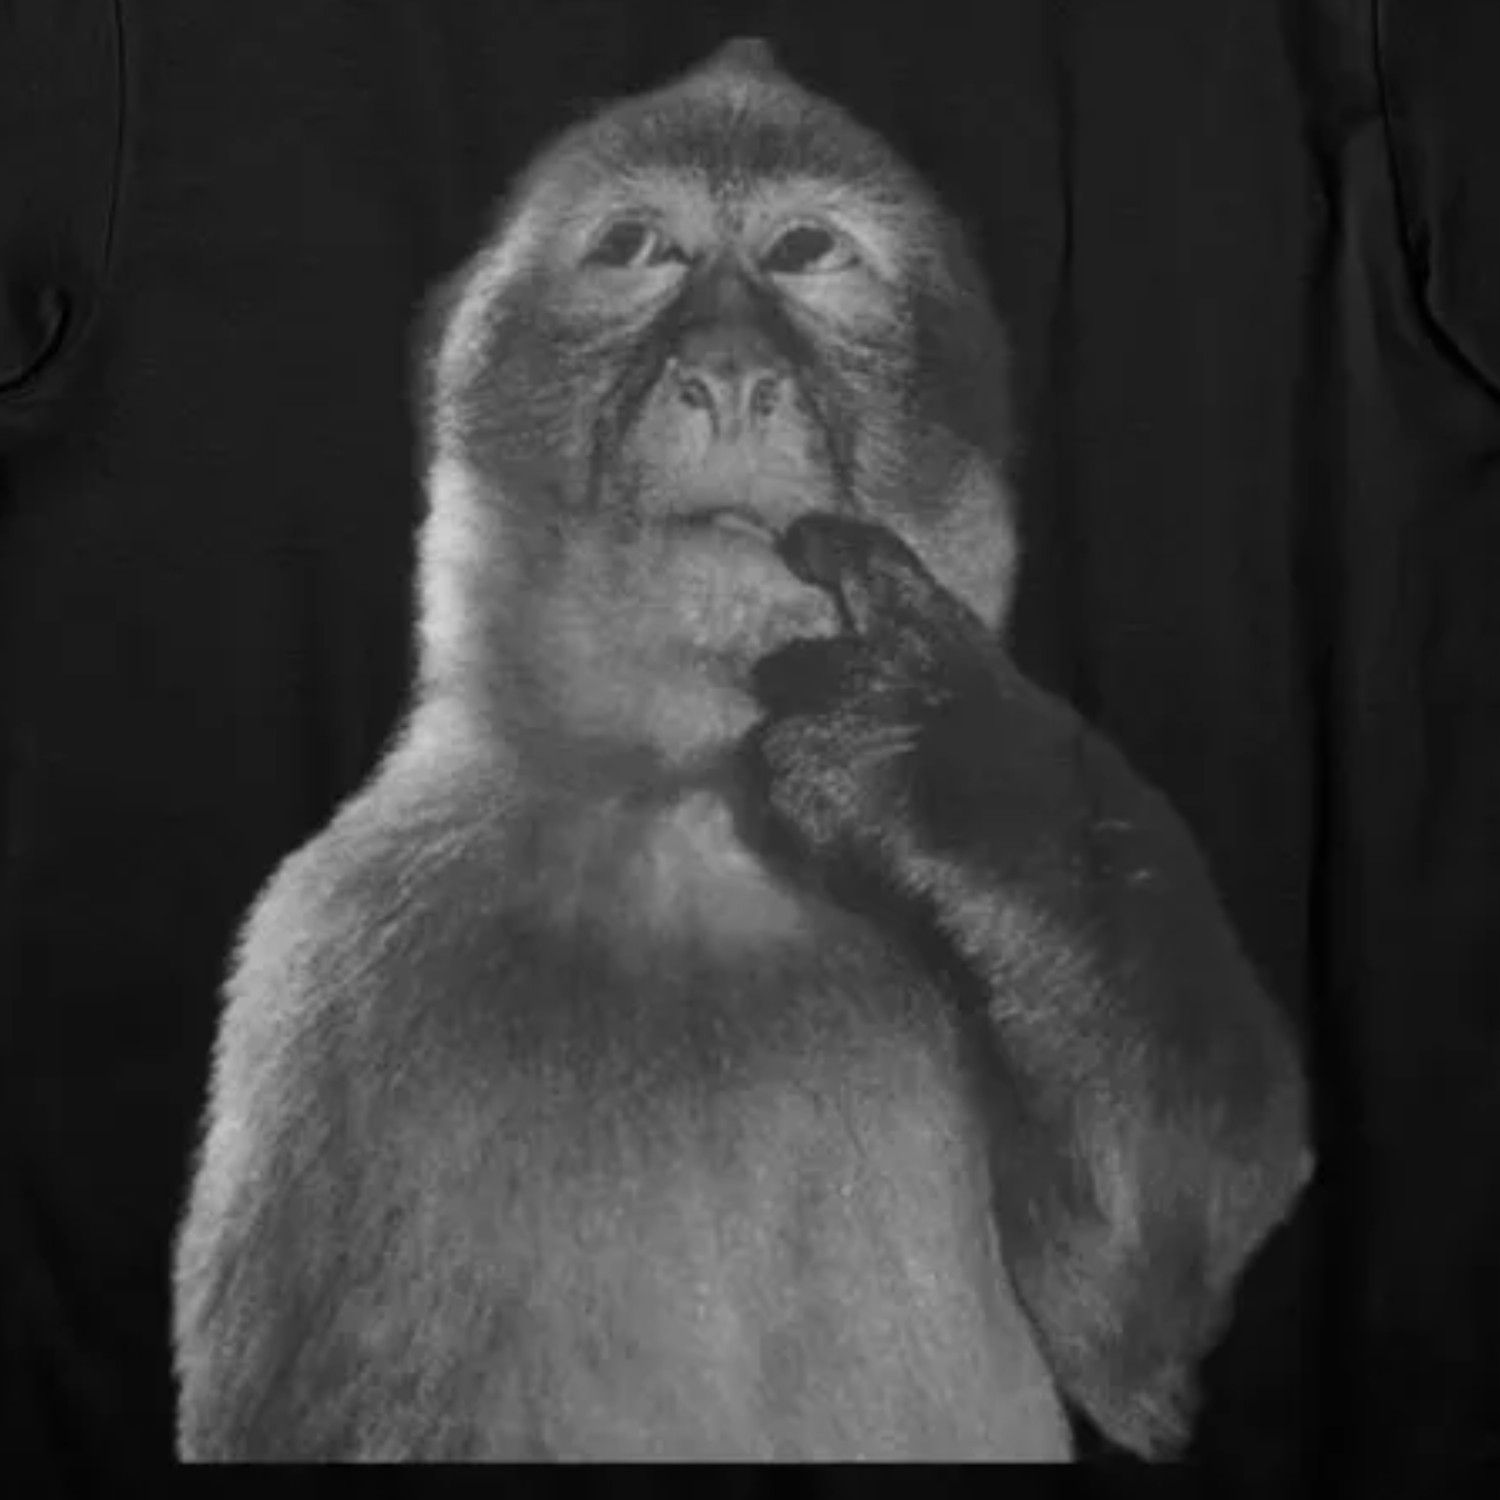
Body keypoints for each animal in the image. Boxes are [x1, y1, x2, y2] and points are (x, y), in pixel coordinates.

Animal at [171, 37, 1311, 1462]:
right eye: (637, 248)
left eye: (807, 251)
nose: (724, 373)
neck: (691, 820)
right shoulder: (329, 960)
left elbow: (1142, 1316)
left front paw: (949, 768)